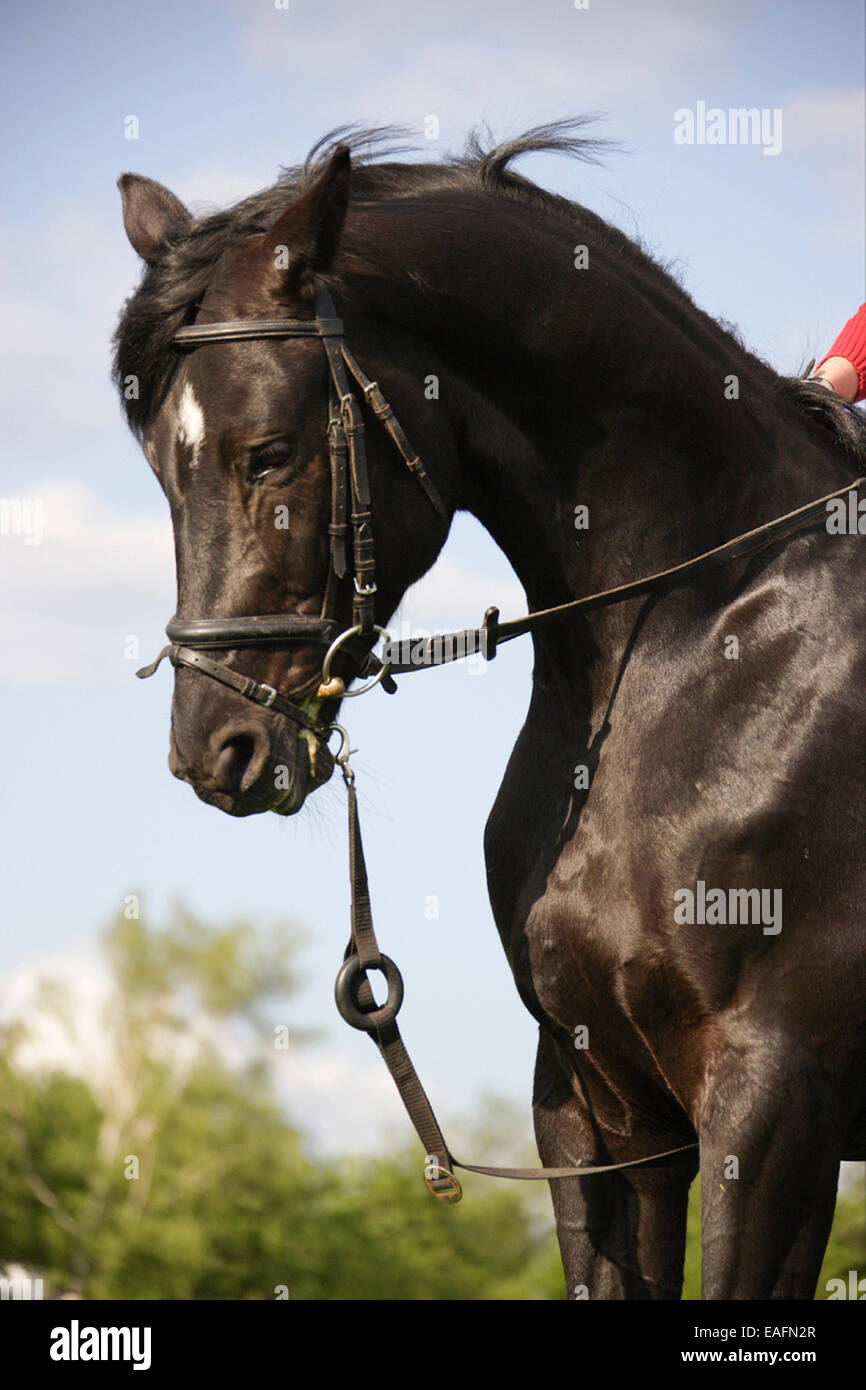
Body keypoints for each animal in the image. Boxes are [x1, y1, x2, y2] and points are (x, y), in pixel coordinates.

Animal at [114, 121, 865, 1299]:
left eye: (269, 452)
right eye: (157, 464)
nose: (214, 748)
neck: (704, 645)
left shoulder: (778, 1102)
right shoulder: (599, 1106)